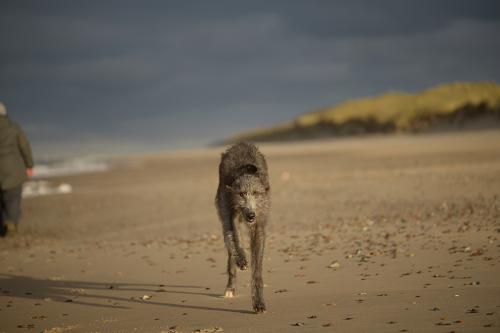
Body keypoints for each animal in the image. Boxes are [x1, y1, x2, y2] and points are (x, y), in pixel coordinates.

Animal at [215, 141, 270, 312]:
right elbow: (233, 236)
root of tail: (240, 143)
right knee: (230, 243)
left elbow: (257, 266)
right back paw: (230, 286)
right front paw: (241, 259)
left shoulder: (259, 223)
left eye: (256, 193)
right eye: (241, 194)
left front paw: (258, 301)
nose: (251, 215)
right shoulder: (229, 210)